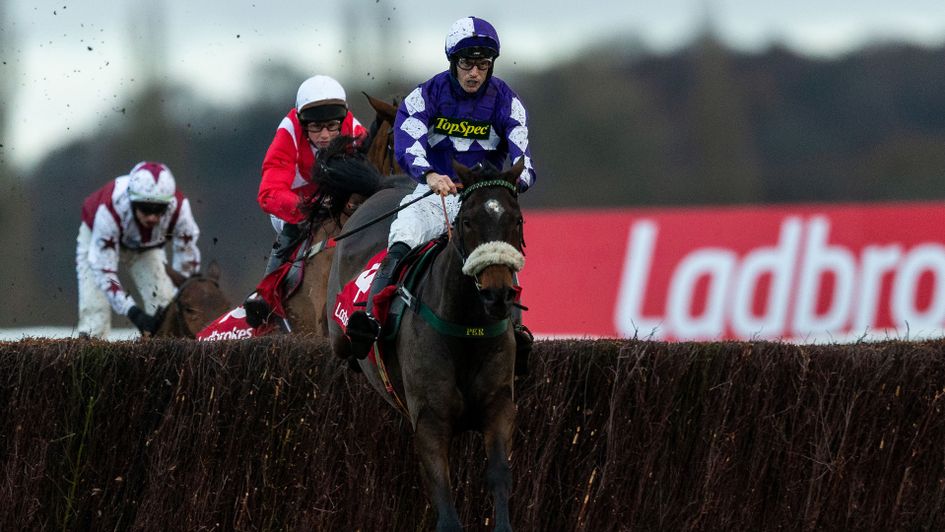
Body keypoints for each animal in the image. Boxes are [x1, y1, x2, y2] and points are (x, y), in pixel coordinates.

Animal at [327, 159, 527, 531]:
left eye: (517, 220)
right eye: (467, 220)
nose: (497, 294)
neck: (466, 328)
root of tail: (385, 186)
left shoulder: (498, 408)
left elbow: (499, 474)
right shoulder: (430, 421)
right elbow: (445, 507)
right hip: (339, 334)